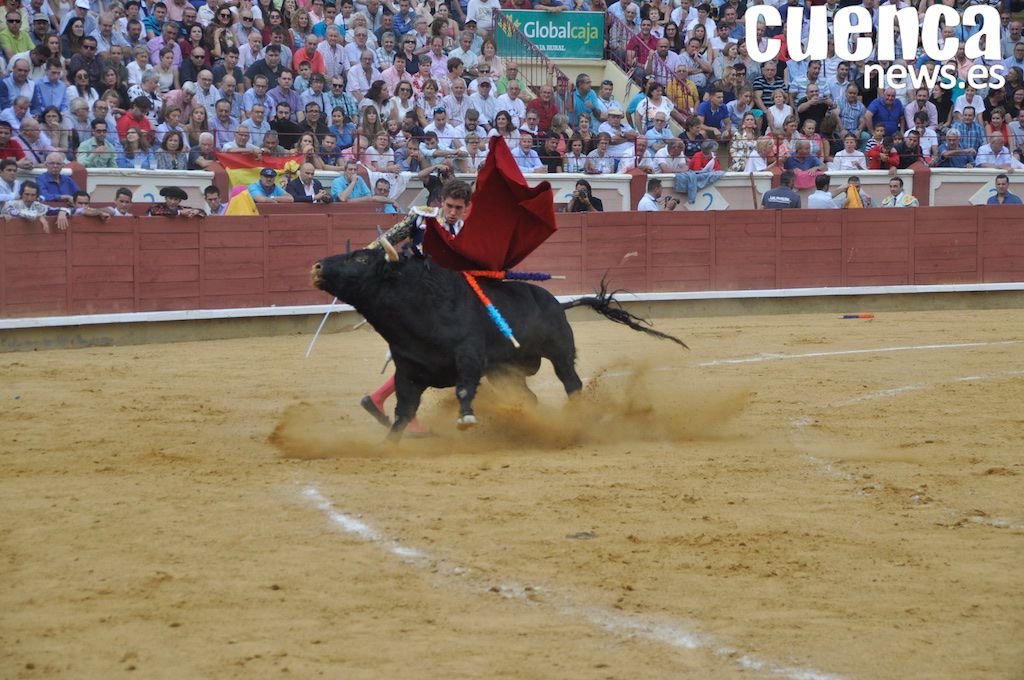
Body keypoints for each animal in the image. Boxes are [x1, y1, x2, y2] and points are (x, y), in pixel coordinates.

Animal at [310, 239, 687, 440]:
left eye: (361, 258)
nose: (317, 266)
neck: (419, 308)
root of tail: (558, 302)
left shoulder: (469, 357)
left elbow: (464, 389)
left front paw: (466, 420)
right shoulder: (408, 371)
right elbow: (404, 410)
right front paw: (389, 441)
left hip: (560, 354)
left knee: (572, 383)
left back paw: (573, 418)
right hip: (506, 372)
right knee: (529, 396)